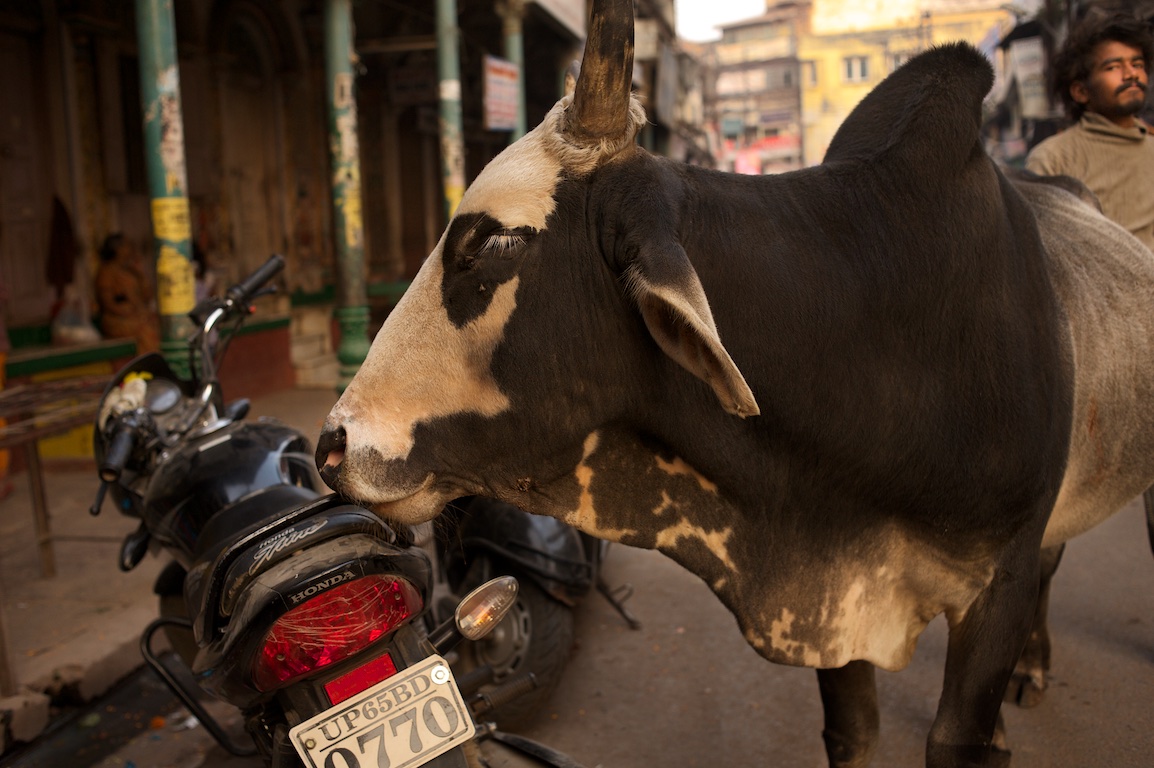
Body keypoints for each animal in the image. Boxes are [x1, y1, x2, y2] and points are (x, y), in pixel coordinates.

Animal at [315, 0, 1154, 765]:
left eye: (490, 245)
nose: (331, 446)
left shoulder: (998, 582)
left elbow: (959, 734)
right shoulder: (834, 607)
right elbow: (854, 733)